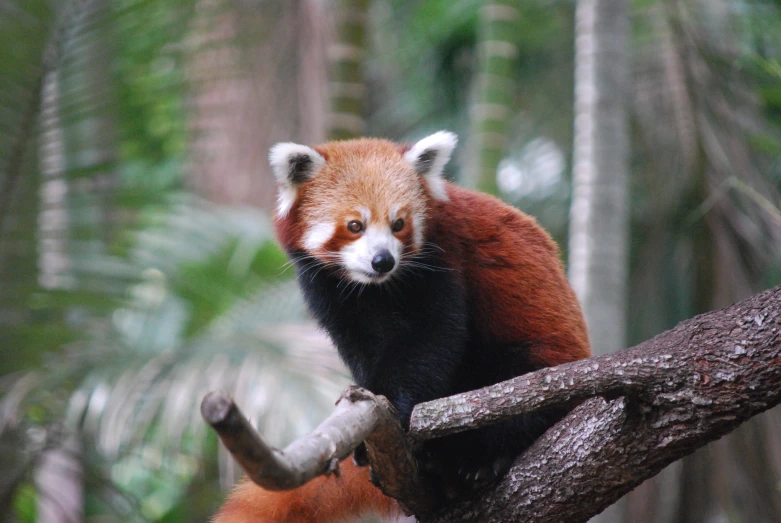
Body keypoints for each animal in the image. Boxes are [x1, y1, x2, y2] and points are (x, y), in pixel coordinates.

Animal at [210, 132, 588, 523]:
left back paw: (479, 460)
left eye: (398, 224)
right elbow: (363, 348)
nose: (383, 260)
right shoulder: (330, 291)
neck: (376, 288)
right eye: (355, 226)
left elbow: (429, 339)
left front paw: (390, 404)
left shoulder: (441, 260)